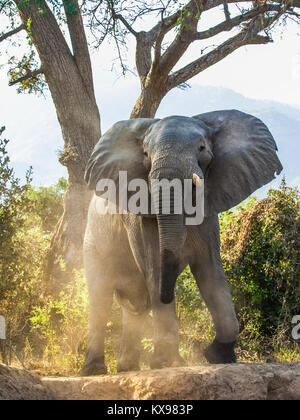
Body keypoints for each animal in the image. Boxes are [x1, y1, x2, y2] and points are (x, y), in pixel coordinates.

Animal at [81, 110, 282, 376]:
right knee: (101, 297)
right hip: (93, 239)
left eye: (202, 148)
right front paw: (168, 363)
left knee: (134, 304)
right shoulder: (139, 218)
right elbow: (155, 269)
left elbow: (211, 272)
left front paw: (218, 356)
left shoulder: (209, 212)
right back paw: (94, 371)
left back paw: (127, 368)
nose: (168, 295)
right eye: (145, 154)